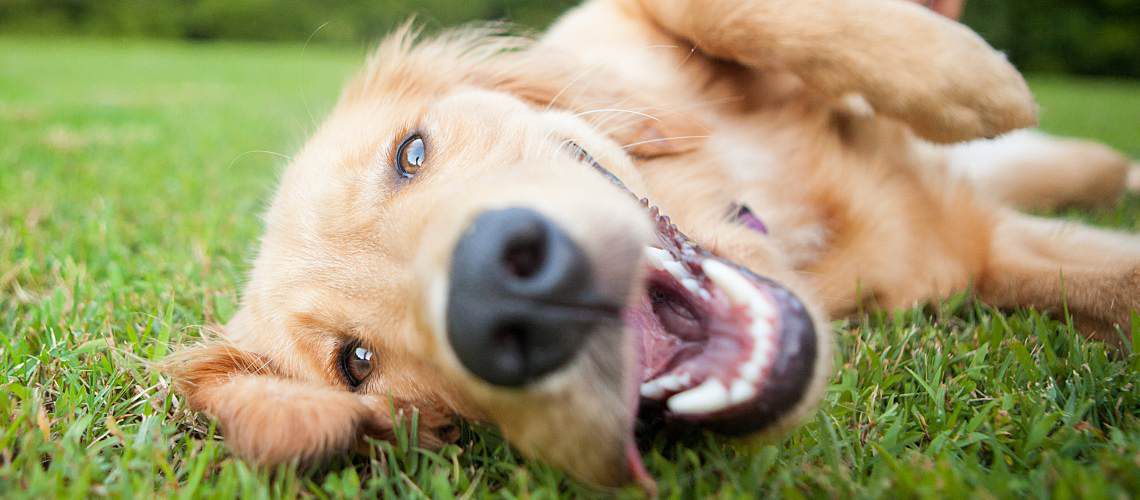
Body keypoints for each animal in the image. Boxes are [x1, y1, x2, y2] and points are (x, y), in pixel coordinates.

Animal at [163, 0, 1140, 487]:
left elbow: (723, 6)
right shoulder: (972, 254)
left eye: (410, 154)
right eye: (356, 364)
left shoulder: (622, 18)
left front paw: (963, 77)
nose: (501, 294)